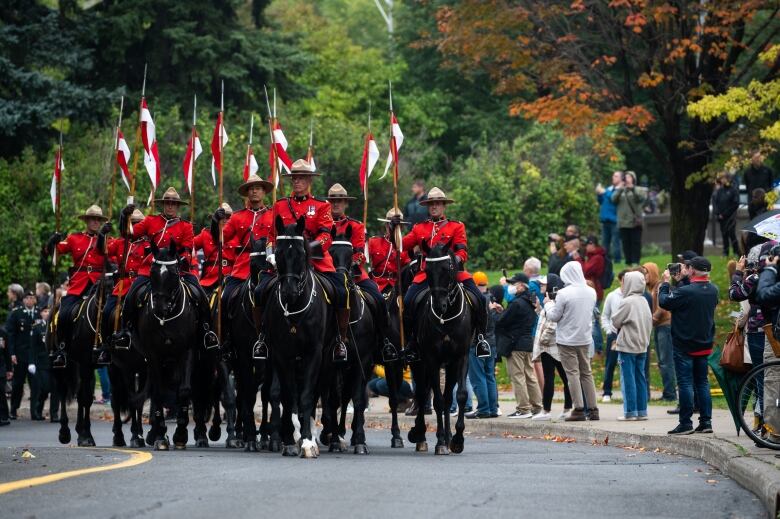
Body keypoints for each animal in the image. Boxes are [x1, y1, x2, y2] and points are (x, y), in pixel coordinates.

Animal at [134, 241, 201, 450]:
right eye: (152, 271)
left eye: (173, 273)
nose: (160, 306)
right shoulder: (153, 354)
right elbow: (159, 393)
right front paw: (161, 435)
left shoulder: (187, 351)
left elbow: (184, 390)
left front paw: (180, 433)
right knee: (152, 393)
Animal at [258, 215, 338, 460]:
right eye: (279, 252)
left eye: (301, 254)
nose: (289, 291)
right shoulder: (282, 354)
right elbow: (288, 394)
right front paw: (290, 439)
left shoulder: (314, 352)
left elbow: (306, 396)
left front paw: (307, 441)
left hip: (326, 357)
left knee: (317, 392)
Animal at [408, 244, 476, 456]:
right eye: (428, 271)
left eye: (448, 269)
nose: (439, 305)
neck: (447, 318)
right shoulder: (431, 360)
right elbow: (436, 400)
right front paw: (439, 442)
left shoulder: (461, 358)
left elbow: (460, 395)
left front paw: (457, 439)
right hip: (419, 364)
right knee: (422, 394)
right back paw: (421, 436)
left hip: (449, 367)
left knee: (446, 398)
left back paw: (447, 436)